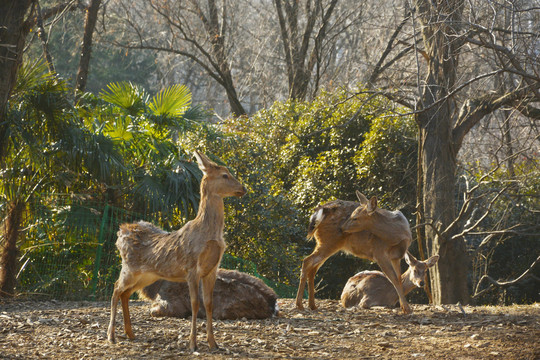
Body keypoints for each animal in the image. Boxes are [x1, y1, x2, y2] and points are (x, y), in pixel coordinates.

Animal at [107, 152, 247, 352]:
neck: (210, 234)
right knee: (115, 288)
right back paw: (111, 336)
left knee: (125, 293)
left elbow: (209, 304)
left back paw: (130, 334)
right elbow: (195, 304)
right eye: (225, 175)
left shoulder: (212, 269)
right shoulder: (192, 267)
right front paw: (193, 344)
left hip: (147, 275)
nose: (243, 189)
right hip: (130, 268)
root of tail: (121, 232)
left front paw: (214, 343)